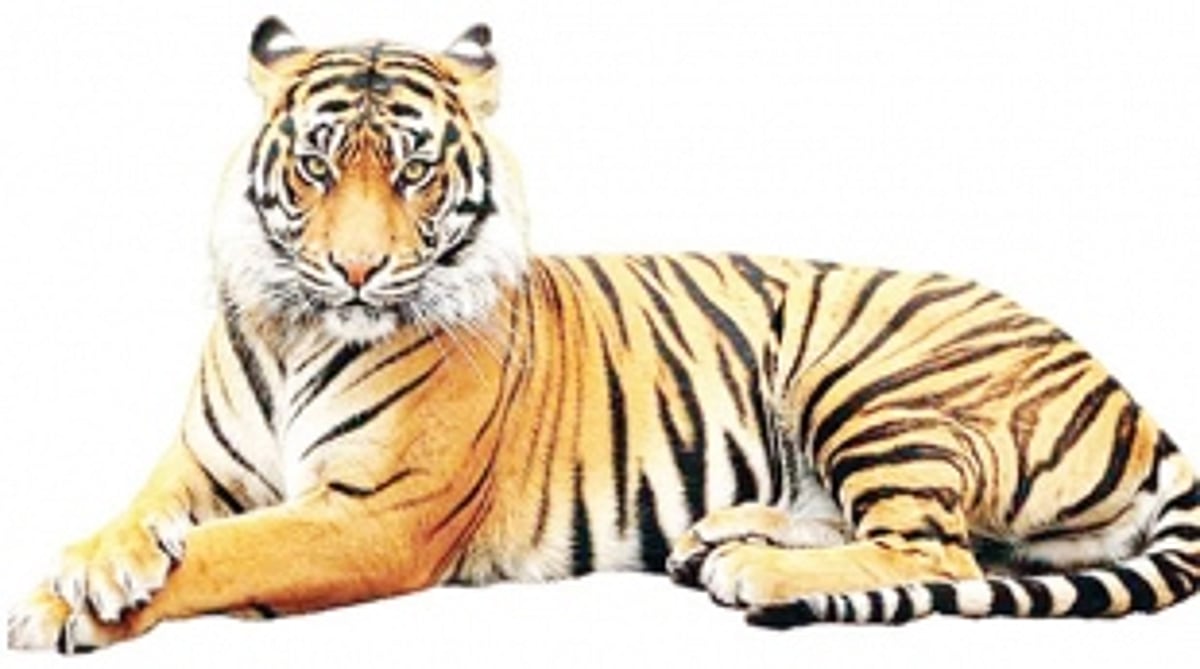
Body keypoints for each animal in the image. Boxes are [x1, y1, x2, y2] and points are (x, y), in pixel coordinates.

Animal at [8, 17, 1199, 653]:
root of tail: (1135, 401)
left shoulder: (372, 516)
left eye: (414, 170)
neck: (298, 328)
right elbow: (139, 519)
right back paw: (724, 535)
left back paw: (752, 572)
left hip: (871, 374)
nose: (356, 269)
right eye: (316, 166)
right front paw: (85, 567)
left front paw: (62, 610)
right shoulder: (200, 468)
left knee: (936, 546)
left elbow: (223, 553)